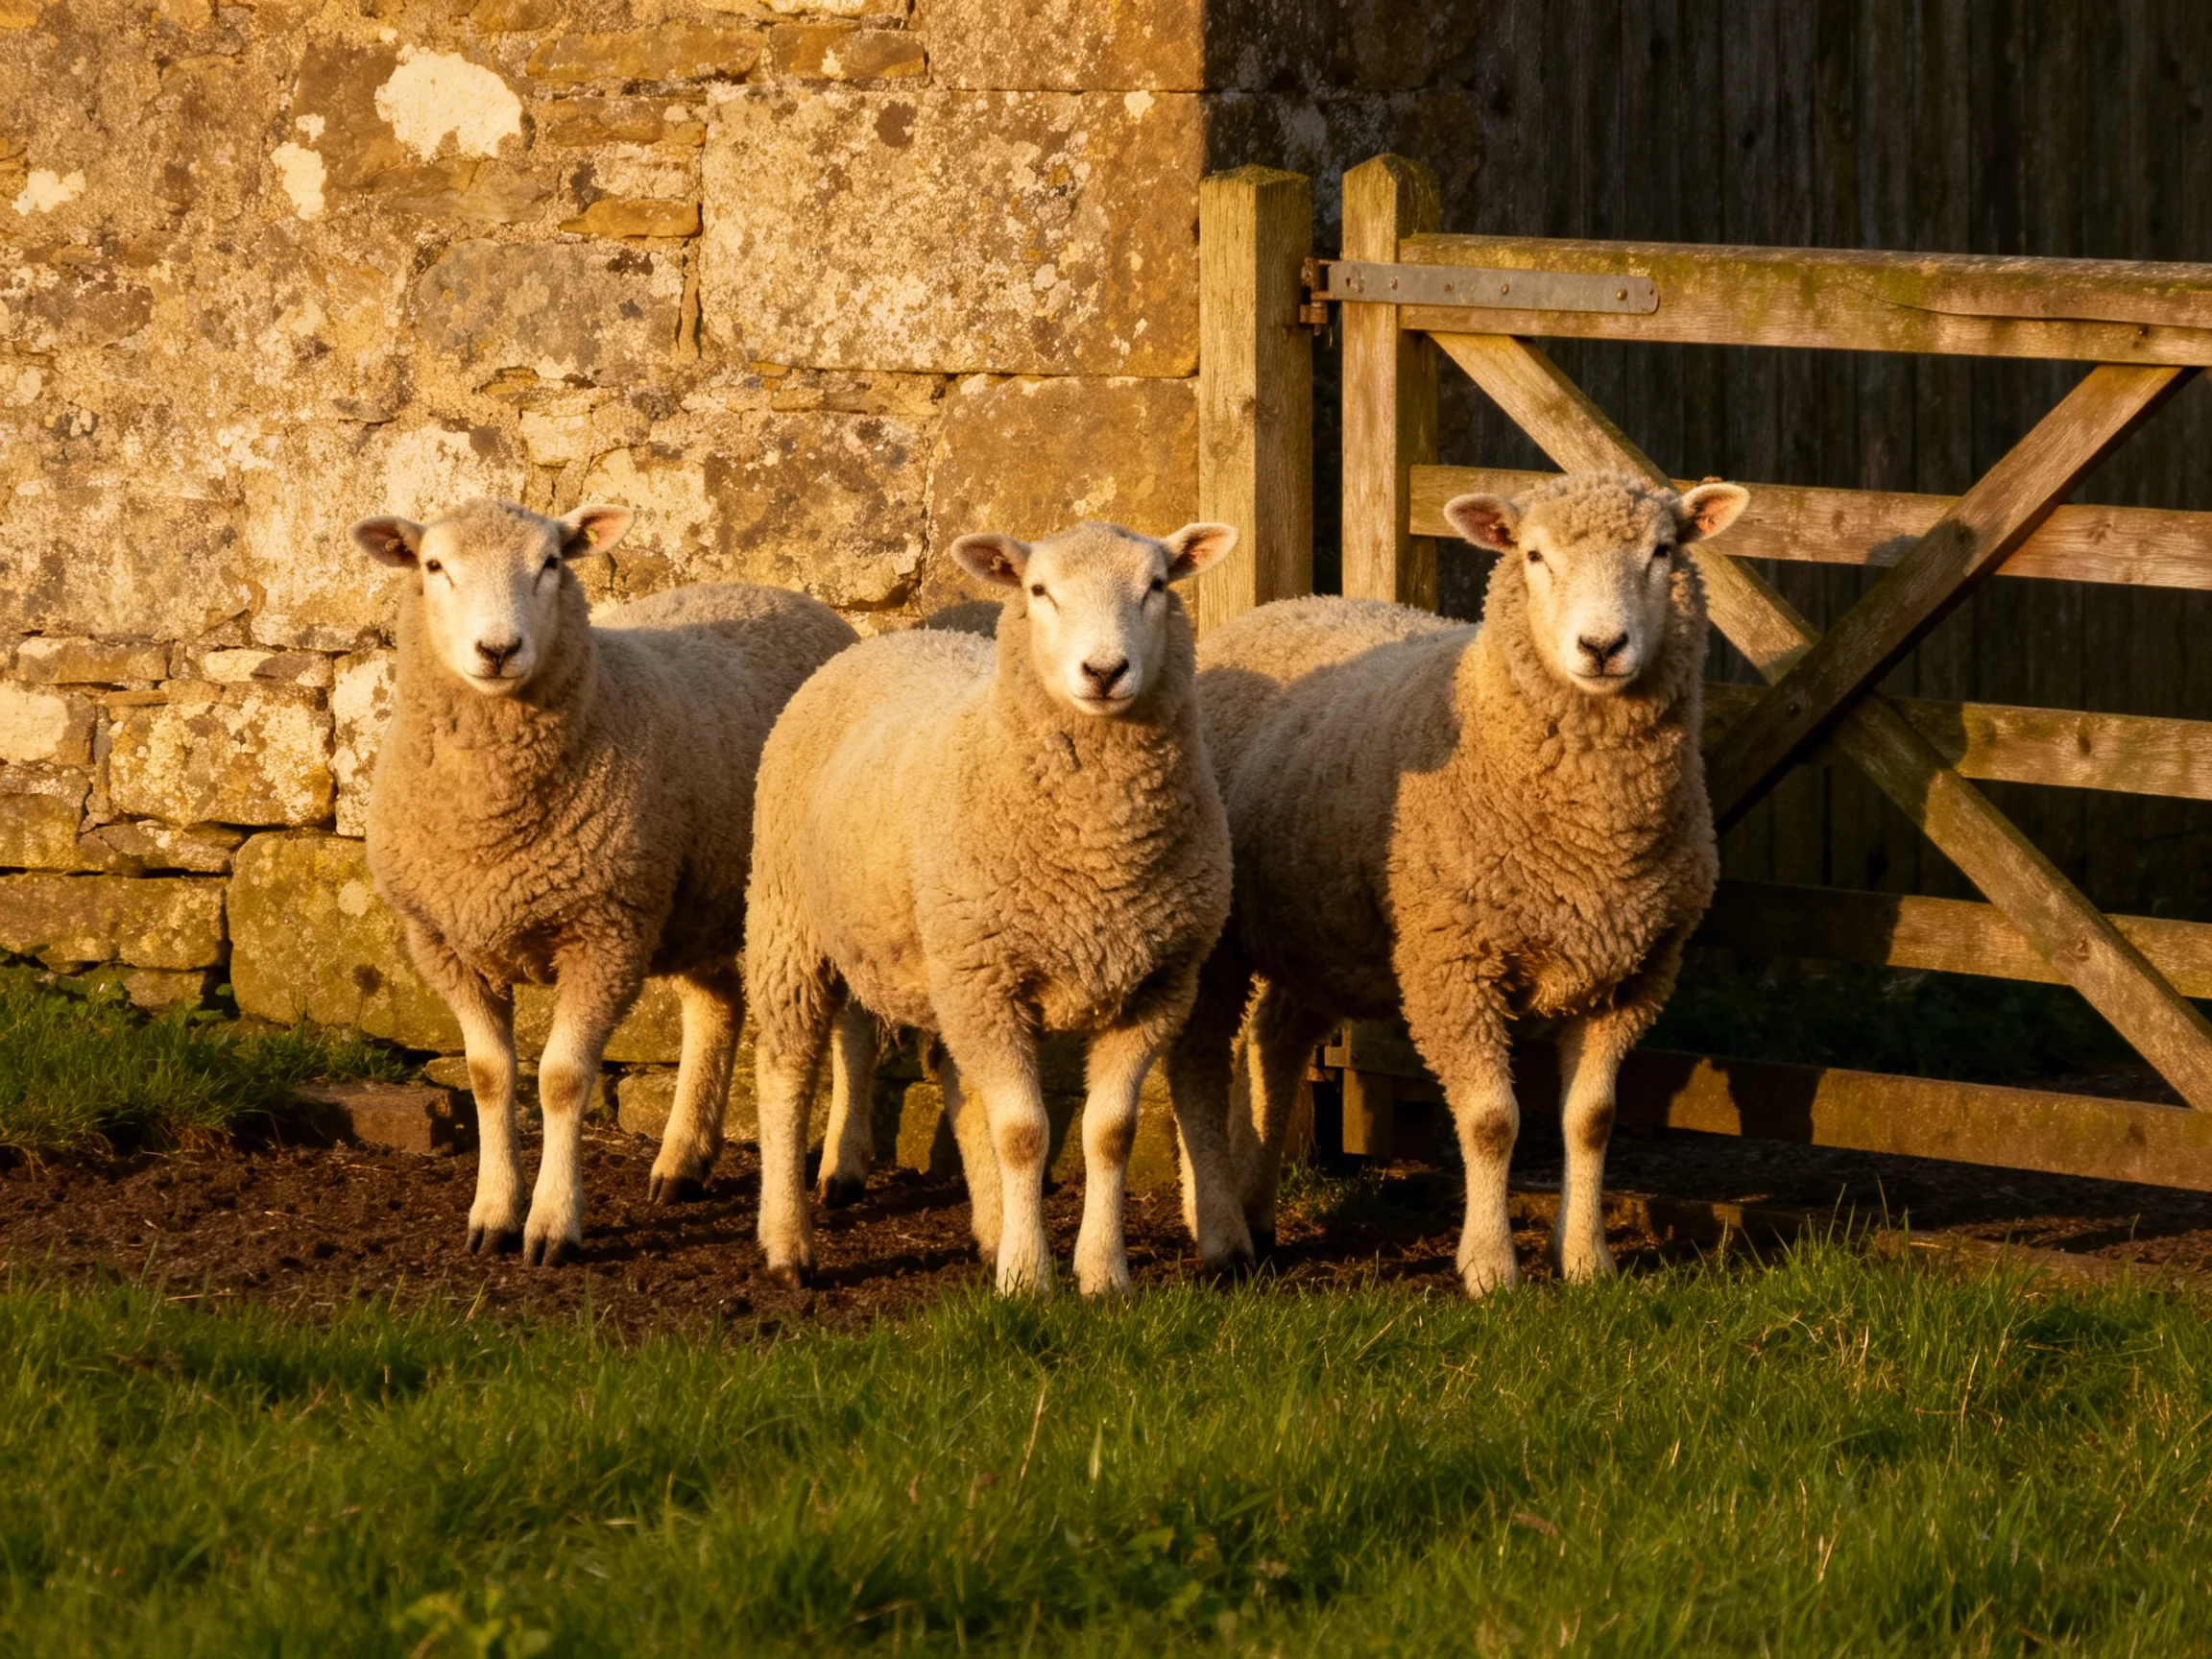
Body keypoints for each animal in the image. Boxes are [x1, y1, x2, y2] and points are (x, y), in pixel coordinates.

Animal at [348, 498, 861, 1266]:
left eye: (551, 563)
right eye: (434, 566)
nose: (498, 650)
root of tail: (797, 598)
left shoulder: (605, 930)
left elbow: (562, 1080)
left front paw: (552, 1223)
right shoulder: (445, 942)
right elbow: (489, 1076)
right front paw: (493, 1212)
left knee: (853, 1025)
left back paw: (842, 1167)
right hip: (697, 893)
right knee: (716, 1006)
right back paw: (683, 1159)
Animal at [746, 519, 1237, 1294]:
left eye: (1156, 585)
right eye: (1039, 591)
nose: (1105, 671)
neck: (1100, 855)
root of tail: (885, 640)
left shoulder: (1155, 986)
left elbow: (1109, 1133)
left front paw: (1102, 1274)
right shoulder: (989, 979)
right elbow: (1025, 1133)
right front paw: (1028, 1278)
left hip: (926, 950)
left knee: (954, 1079)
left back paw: (987, 1228)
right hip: (789, 921)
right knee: (785, 1073)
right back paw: (788, 1243)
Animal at [1166, 472, 1750, 1294]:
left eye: (1664, 550)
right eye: (1533, 555)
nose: (1602, 647)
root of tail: (1284, 604)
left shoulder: (1632, 975)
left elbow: (1591, 1121)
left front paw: (1586, 1260)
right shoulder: (1453, 962)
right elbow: (1491, 1120)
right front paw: (1490, 1268)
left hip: (1321, 928)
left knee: (1276, 1040)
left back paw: (1256, 1208)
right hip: (1218, 933)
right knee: (1197, 1060)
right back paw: (1217, 1228)